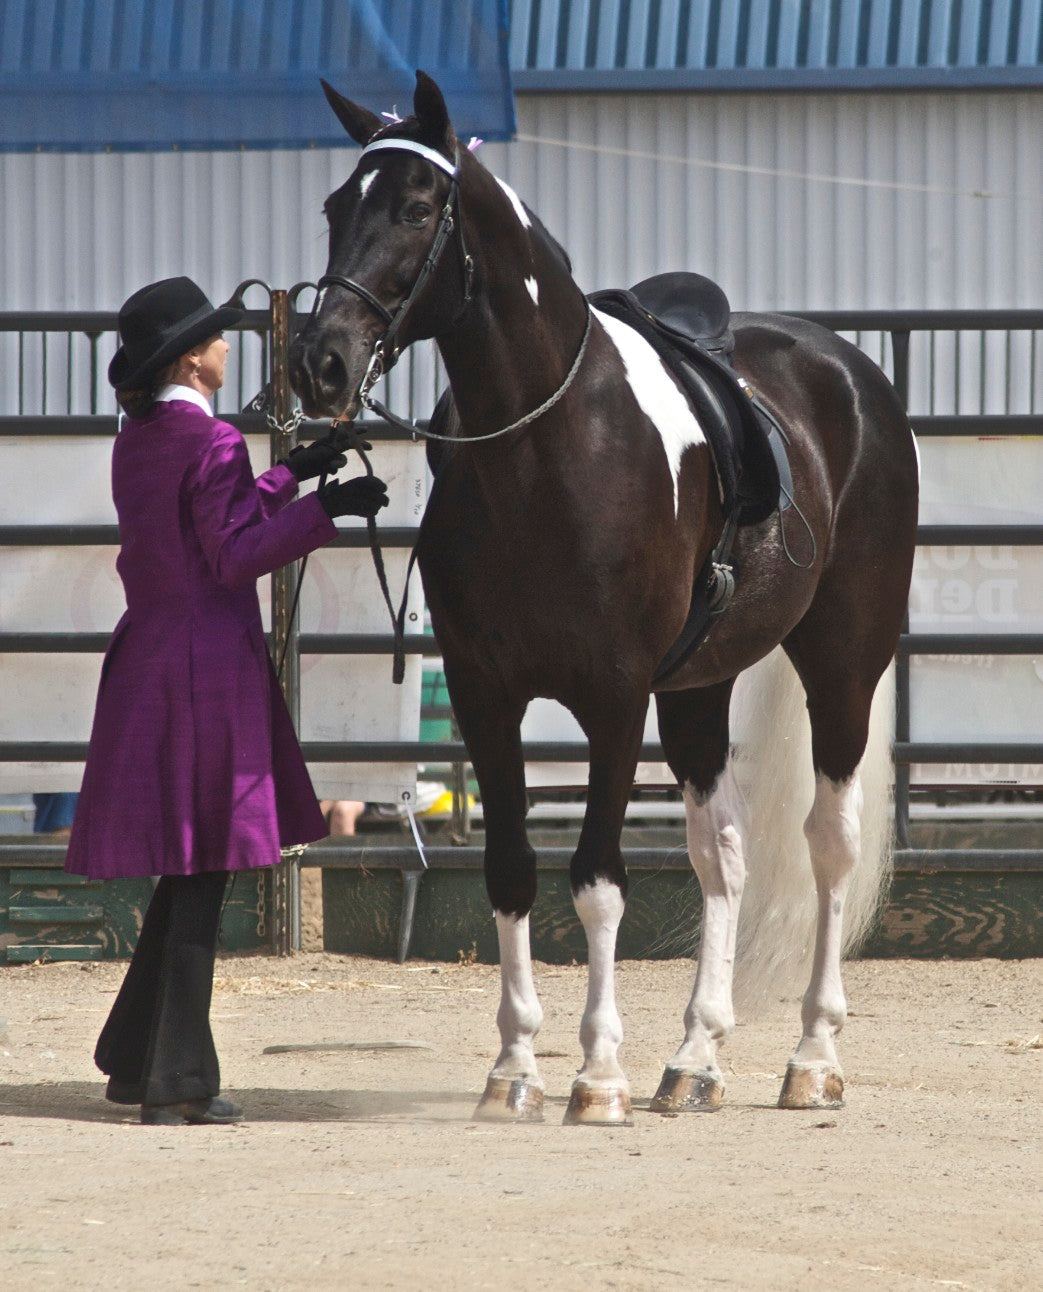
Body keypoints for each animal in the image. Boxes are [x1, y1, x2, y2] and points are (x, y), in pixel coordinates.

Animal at [289, 73, 920, 1121]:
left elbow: (596, 881)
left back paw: (811, 1058)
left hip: (842, 662)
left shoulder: (614, 698)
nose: (322, 363)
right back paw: (696, 1059)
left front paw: (595, 1074)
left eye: (416, 209)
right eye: (337, 208)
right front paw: (513, 1070)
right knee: (724, 852)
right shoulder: (484, 693)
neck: (546, 449)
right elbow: (511, 870)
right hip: (699, 689)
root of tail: (846, 370)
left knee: (828, 843)